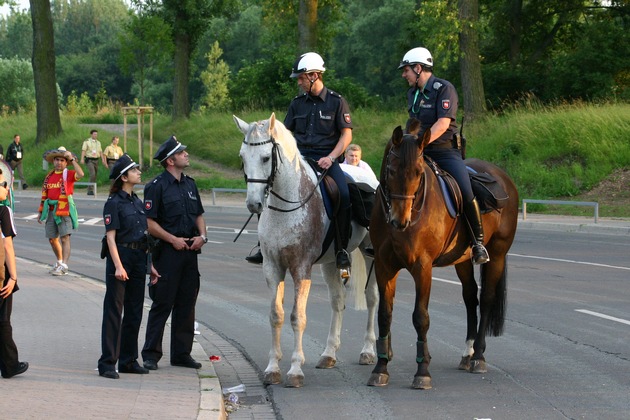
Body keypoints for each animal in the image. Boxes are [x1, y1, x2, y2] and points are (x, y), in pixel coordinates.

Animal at [235, 114, 378, 388]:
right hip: (331, 263)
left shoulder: (301, 268)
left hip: (370, 255)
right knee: (338, 300)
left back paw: (368, 351)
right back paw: (329, 354)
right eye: (242, 157)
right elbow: (276, 315)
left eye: (266, 158)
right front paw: (272, 368)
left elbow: (297, 317)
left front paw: (295, 370)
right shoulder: (272, 267)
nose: (253, 204)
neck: (287, 206)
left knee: (373, 299)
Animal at [368, 120, 520, 388]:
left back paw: (478, 357)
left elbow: (421, 317)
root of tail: (503, 177)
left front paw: (422, 372)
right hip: (462, 261)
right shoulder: (384, 266)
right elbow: (384, 315)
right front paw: (381, 367)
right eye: (392, 170)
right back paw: (468, 353)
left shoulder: (422, 267)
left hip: (498, 254)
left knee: (486, 299)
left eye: (419, 173)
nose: (400, 220)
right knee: (470, 298)